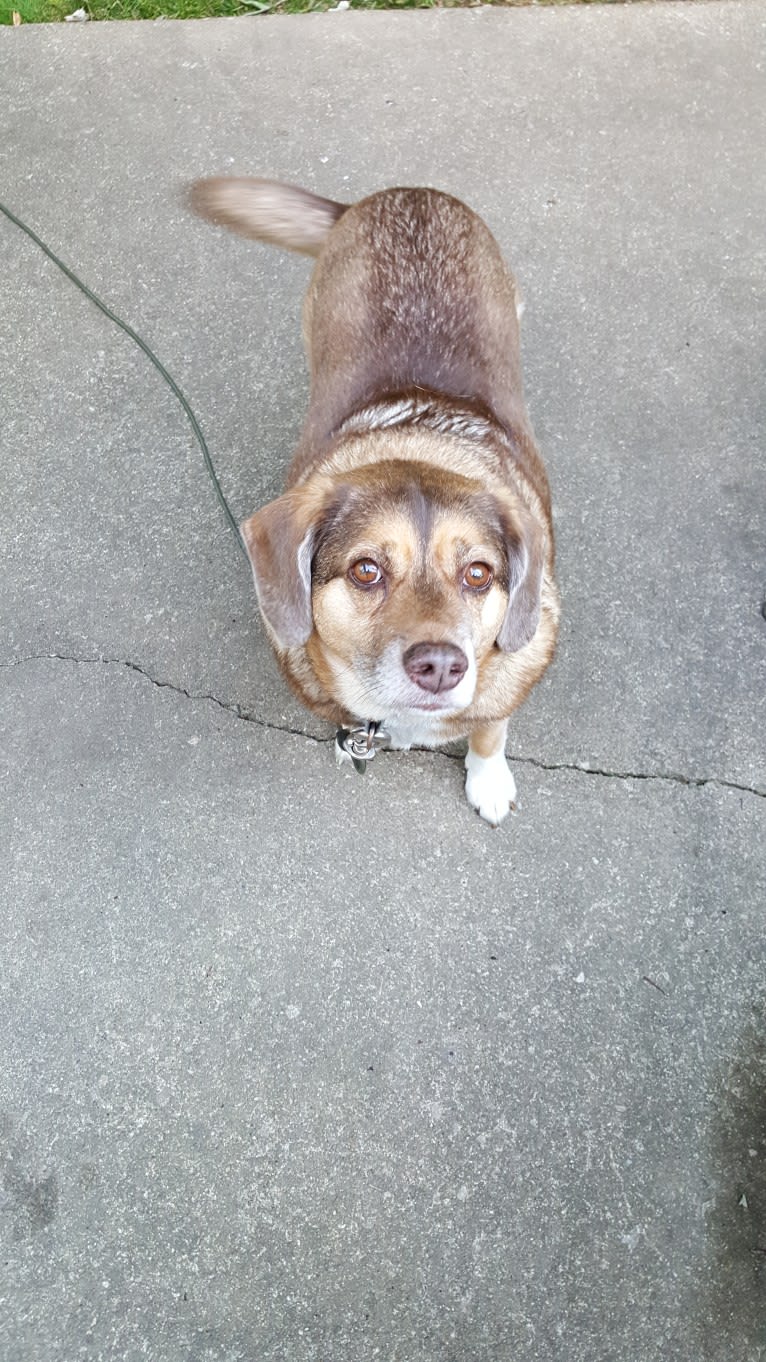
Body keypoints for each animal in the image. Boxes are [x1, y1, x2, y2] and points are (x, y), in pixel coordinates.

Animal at [188, 175, 558, 822]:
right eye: (366, 571)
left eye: (479, 575)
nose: (441, 667)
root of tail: (404, 192)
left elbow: (490, 727)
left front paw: (488, 779)